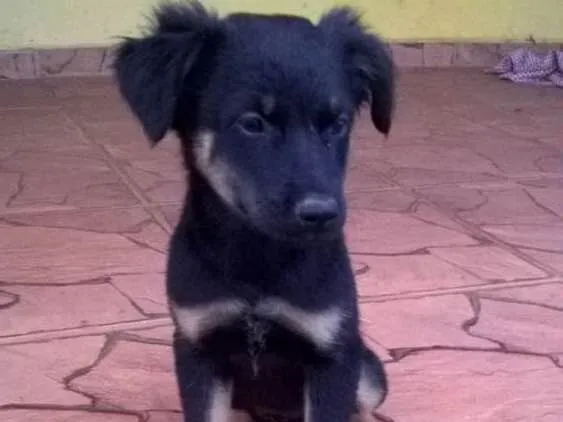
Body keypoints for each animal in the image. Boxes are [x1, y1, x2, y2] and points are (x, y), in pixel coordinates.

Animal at [114, 1, 394, 421]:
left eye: (337, 124)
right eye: (252, 123)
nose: (322, 214)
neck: (257, 259)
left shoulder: (332, 355)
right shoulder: (198, 349)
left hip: (368, 370)